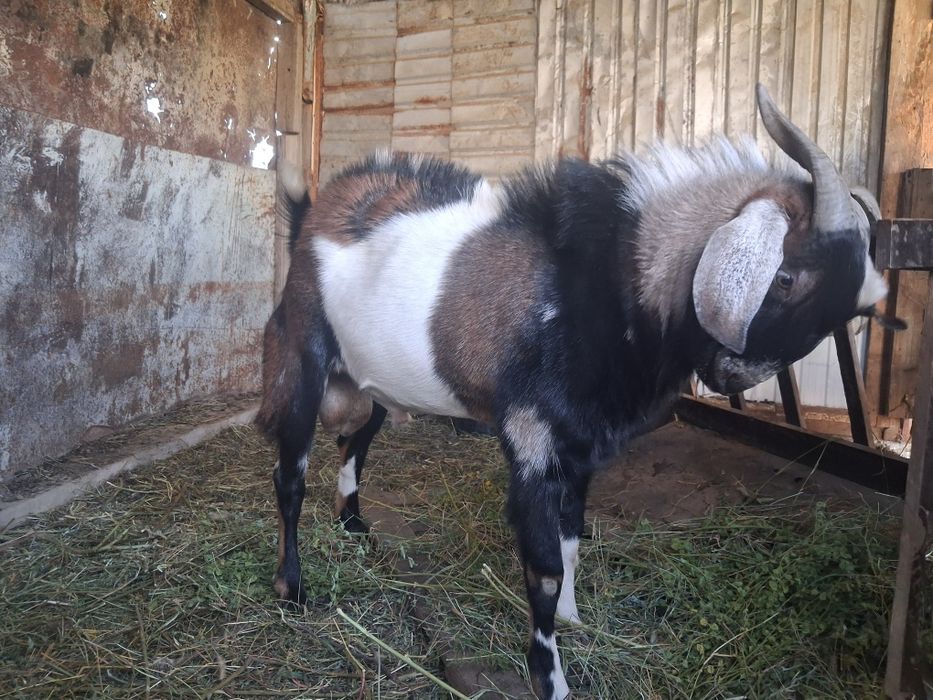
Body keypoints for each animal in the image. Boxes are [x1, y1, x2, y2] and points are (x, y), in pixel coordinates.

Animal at [255, 85, 890, 699]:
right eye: (786, 276)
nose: (733, 376)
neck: (603, 284)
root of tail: (311, 215)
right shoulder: (533, 437)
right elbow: (543, 567)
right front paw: (550, 677)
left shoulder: (582, 447)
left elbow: (571, 542)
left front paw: (573, 618)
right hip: (303, 357)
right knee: (290, 476)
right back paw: (292, 587)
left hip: (372, 382)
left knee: (355, 442)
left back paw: (353, 525)